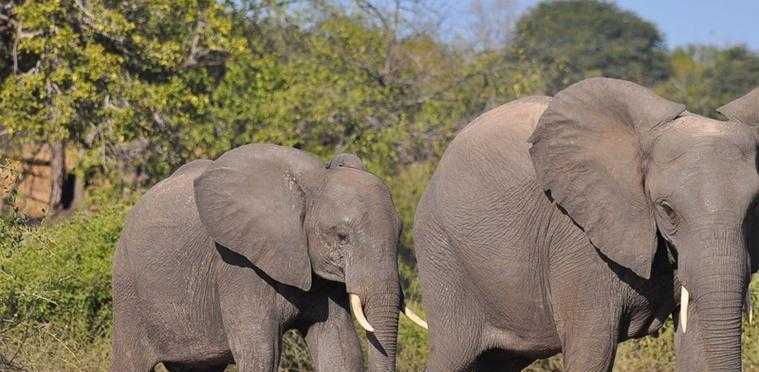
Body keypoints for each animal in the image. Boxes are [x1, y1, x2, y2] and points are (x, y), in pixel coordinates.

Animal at [111, 145, 428, 372]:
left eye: (401, 232)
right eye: (341, 236)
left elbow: (339, 347)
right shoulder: (239, 265)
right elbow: (260, 351)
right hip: (128, 290)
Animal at [412, 77, 759, 370]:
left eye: (754, 207)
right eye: (667, 209)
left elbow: (698, 343)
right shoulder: (579, 240)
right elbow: (593, 348)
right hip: (442, 254)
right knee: (454, 354)